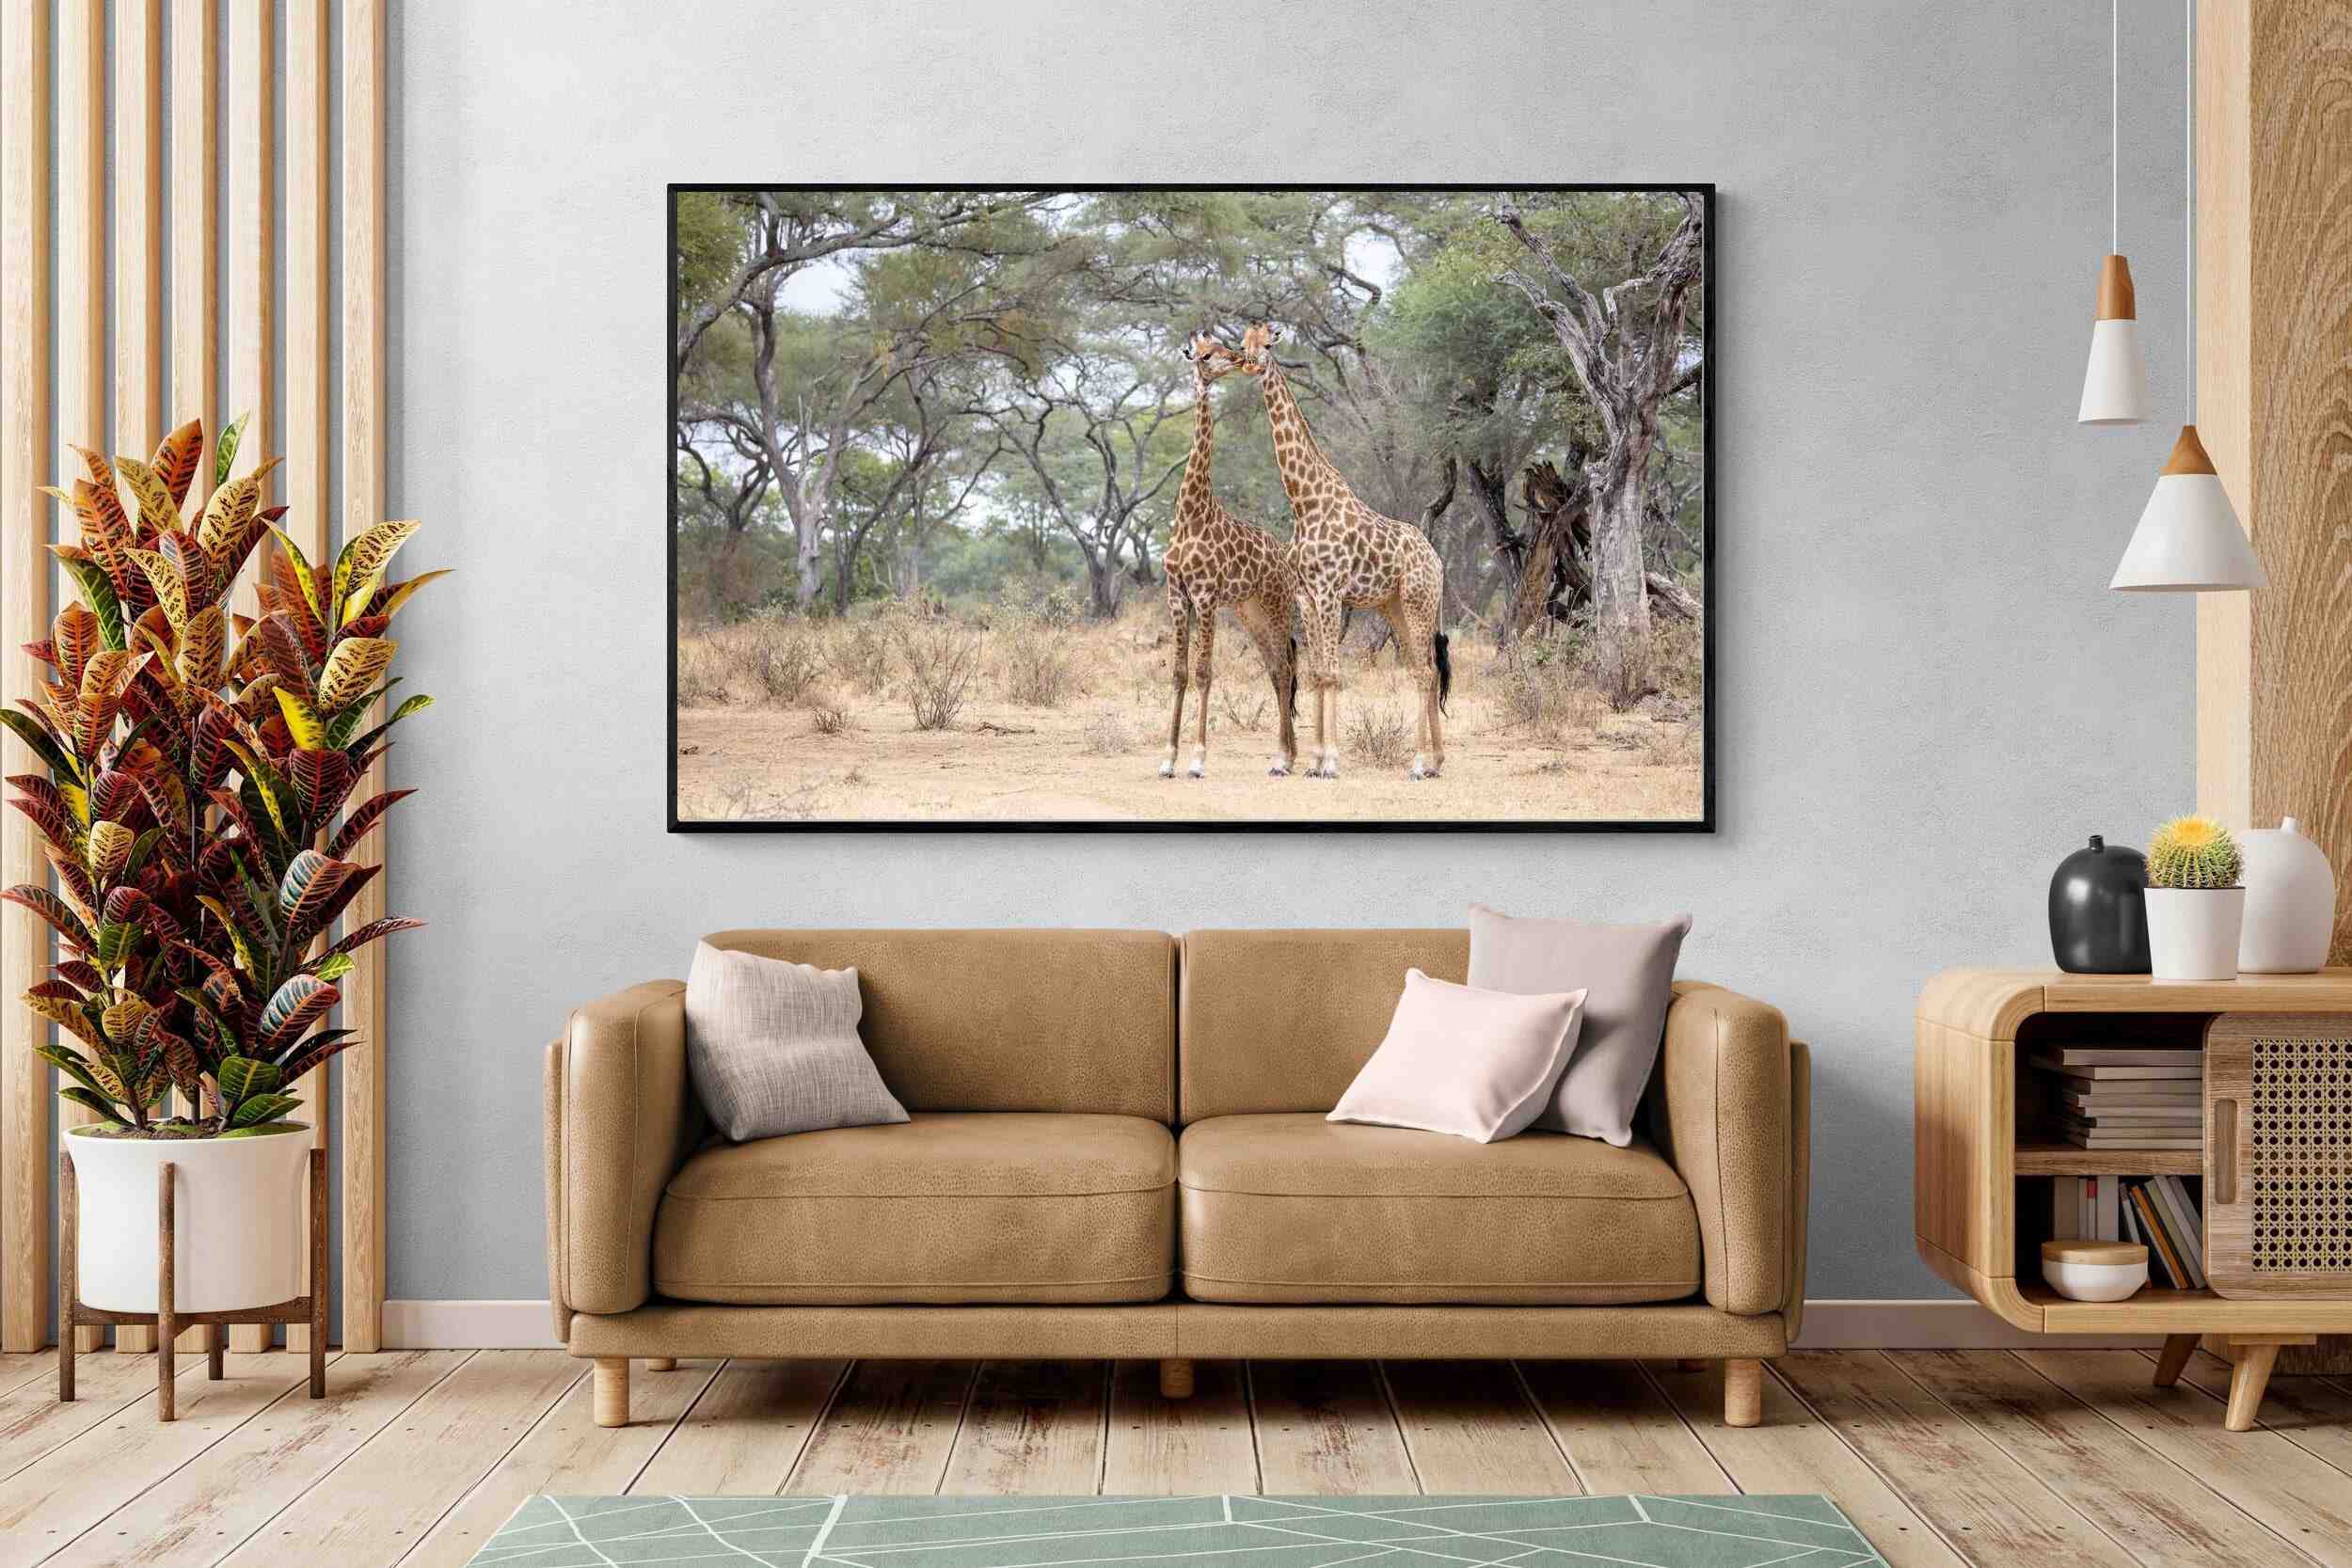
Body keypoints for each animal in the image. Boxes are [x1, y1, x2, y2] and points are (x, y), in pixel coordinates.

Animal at [1159, 330, 1300, 779]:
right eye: (1205, 354)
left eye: (1222, 346)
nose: (1238, 359)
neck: (1190, 513)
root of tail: (1285, 559)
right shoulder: (1177, 596)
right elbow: (1180, 674)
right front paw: (1167, 759)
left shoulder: (1205, 596)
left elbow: (1204, 672)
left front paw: (1197, 760)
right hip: (1249, 611)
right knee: (1275, 669)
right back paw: (1288, 755)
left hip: (1276, 605)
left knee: (1286, 669)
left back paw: (1283, 758)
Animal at [1218, 323, 1450, 779]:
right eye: (1242, 344)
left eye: (1267, 343)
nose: (1249, 364)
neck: (1304, 502)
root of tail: (1436, 560)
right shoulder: (1307, 596)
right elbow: (1318, 672)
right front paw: (1313, 761)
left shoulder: (1329, 592)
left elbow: (1334, 674)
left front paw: (1331, 762)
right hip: (1395, 606)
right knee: (1425, 669)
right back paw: (1434, 762)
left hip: (1418, 601)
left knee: (1425, 671)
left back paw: (1418, 764)